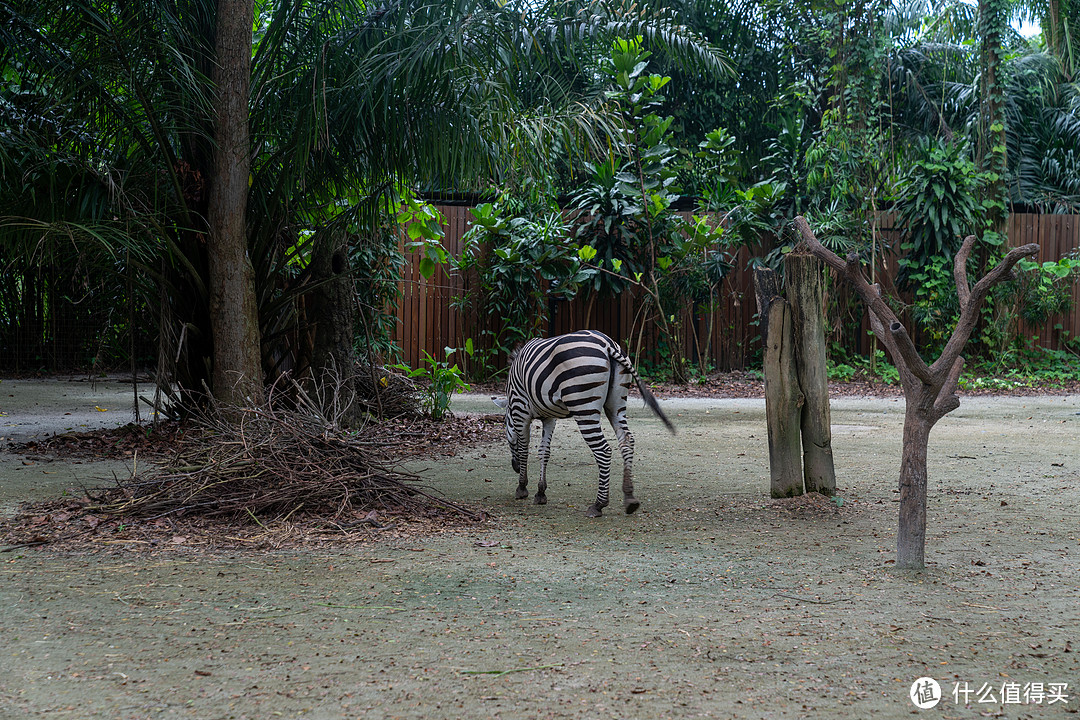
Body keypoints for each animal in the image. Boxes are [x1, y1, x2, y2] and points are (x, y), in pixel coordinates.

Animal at [492, 332, 673, 518]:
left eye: (505, 423)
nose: (514, 467)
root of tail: (608, 344)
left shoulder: (520, 409)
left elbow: (523, 448)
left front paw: (522, 487)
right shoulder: (549, 417)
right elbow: (544, 452)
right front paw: (541, 492)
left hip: (583, 405)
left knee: (603, 450)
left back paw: (598, 505)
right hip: (616, 404)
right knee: (627, 441)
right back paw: (629, 498)